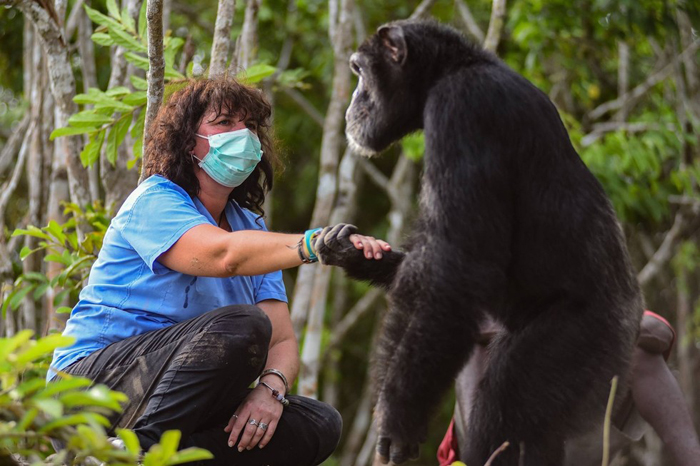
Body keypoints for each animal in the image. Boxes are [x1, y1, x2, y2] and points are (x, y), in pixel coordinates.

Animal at [314, 20, 644, 464]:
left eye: (359, 71)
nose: (353, 102)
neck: (451, 71)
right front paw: (353, 251)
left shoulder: (462, 111)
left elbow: (459, 265)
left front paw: (399, 418)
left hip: (579, 342)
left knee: (506, 405)